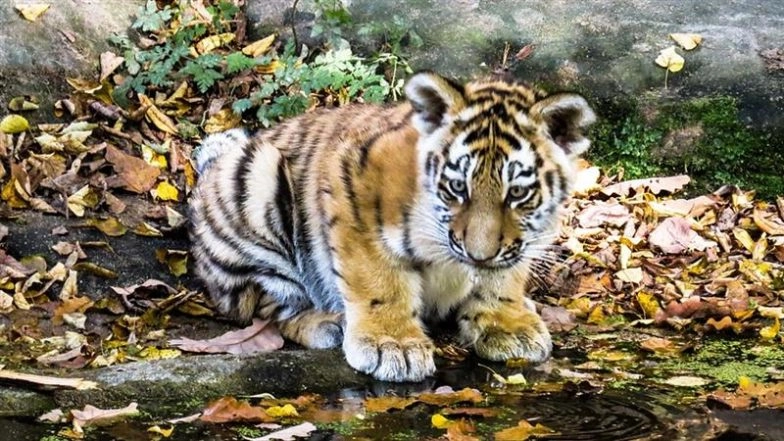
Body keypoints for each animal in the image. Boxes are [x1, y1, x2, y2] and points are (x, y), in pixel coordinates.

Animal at [188, 71, 596, 382]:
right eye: (457, 187)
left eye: (517, 193)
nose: (478, 255)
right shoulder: (351, 189)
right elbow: (378, 280)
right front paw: (393, 345)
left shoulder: (519, 242)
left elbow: (502, 276)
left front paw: (507, 325)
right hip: (256, 180)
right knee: (264, 305)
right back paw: (328, 323)